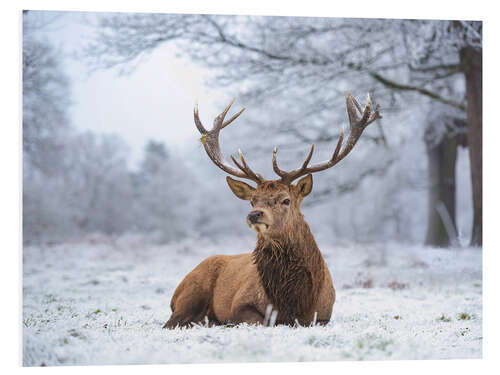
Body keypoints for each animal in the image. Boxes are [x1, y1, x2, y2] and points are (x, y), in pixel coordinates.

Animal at [162, 92, 380, 328]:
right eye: (252, 201)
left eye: (286, 200)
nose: (254, 214)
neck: (294, 303)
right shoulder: (240, 306)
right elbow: (257, 320)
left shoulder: (324, 315)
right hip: (189, 293)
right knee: (172, 321)